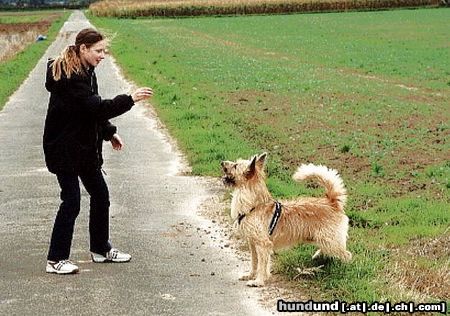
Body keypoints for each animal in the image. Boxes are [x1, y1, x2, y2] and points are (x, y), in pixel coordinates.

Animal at [221, 152, 352, 286]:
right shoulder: (252, 243)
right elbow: (254, 261)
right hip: (325, 239)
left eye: (235, 165)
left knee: (347, 255)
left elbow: (262, 264)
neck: (254, 205)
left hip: (330, 240)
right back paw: (319, 256)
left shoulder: (263, 244)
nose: (222, 163)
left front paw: (258, 280)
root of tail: (331, 202)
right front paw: (250, 275)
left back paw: (343, 268)